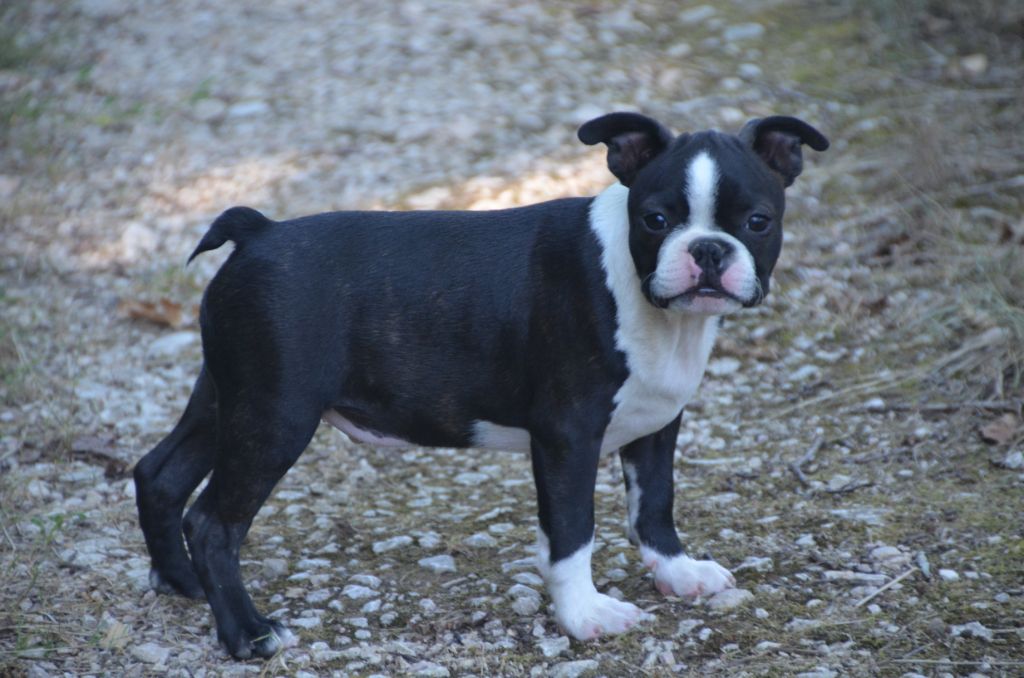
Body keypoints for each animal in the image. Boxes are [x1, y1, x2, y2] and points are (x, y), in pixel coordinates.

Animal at [133, 111, 828, 658]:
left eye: (758, 222)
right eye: (656, 219)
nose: (708, 250)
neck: (644, 296)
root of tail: (259, 231)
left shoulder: (656, 423)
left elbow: (653, 506)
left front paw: (679, 575)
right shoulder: (568, 435)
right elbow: (572, 533)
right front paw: (585, 616)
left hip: (230, 397)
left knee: (159, 474)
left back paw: (182, 583)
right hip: (275, 415)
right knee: (214, 523)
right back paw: (248, 635)